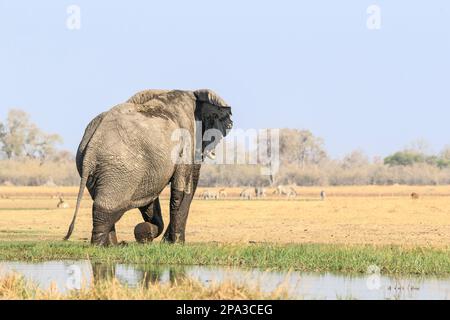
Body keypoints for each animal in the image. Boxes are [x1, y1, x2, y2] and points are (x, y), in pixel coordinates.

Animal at [64, 89, 232, 246]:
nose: (146, 236)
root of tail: (92, 144)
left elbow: (149, 199)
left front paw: (150, 233)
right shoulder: (186, 137)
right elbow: (180, 192)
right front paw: (176, 244)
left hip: (97, 168)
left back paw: (112, 246)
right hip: (119, 167)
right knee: (105, 208)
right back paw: (99, 246)